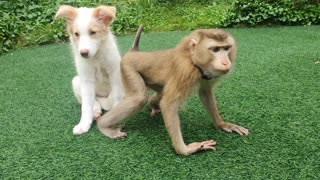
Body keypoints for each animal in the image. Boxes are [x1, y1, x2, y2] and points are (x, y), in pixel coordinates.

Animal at [55, 4, 124, 135]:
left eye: (93, 32)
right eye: (76, 34)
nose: (83, 53)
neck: (96, 57)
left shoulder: (115, 73)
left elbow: (117, 96)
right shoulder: (86, 78)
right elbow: (86, 105)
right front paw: (83, 124)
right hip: (76, 81)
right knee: (90, 99)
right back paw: (96, 110)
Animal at [97, 24, 250, 155]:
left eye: (227, 48)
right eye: (215, 49)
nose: (226, 62)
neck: (192, 59)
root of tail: (134, 52)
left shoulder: (206, 75)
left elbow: (205, 93)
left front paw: (222, 124)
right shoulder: (184, 71)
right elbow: (168, 104)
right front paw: (185, 149)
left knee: (159, 93)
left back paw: (154, 105)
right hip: (127, 68)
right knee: (139, 99)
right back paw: (103, 125)